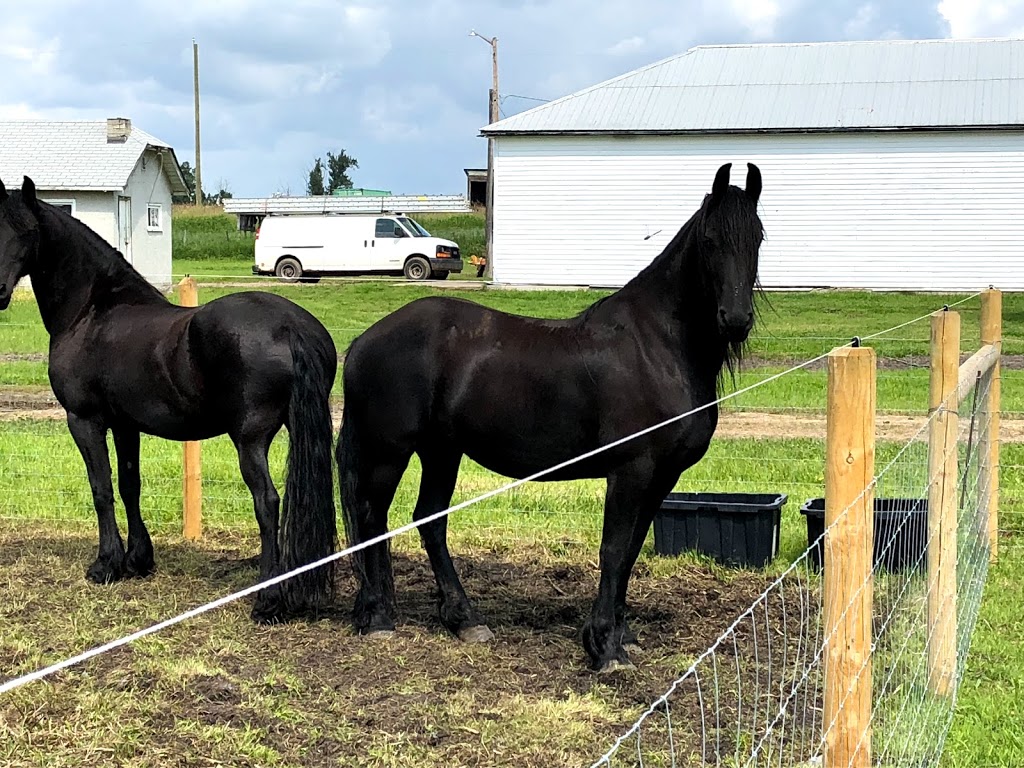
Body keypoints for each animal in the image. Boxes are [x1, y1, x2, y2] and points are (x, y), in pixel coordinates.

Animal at [0, 176, 337, 626]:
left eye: (27, 232)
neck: (92, 310)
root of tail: (290, 326)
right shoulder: (125, 425)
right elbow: (129, 485)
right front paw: (137, 560)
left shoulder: (84, 420)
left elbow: (100, 487)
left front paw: (106, 565)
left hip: (250, 440)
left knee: (267, 502)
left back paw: (268, 599)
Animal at [337, 163, 770, 671]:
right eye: (709, 240)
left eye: (758, 236)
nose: (735, 320)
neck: (656, 346)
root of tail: (364, 340)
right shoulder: (631, 471)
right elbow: (614, 550)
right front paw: (605, 647)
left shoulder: (661, 476)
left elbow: (632, 551)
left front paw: (621, 633)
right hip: (389, 450)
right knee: (372, 516)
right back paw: (379, 618)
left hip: (442, 452)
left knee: (429, 521)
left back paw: (464, 620)